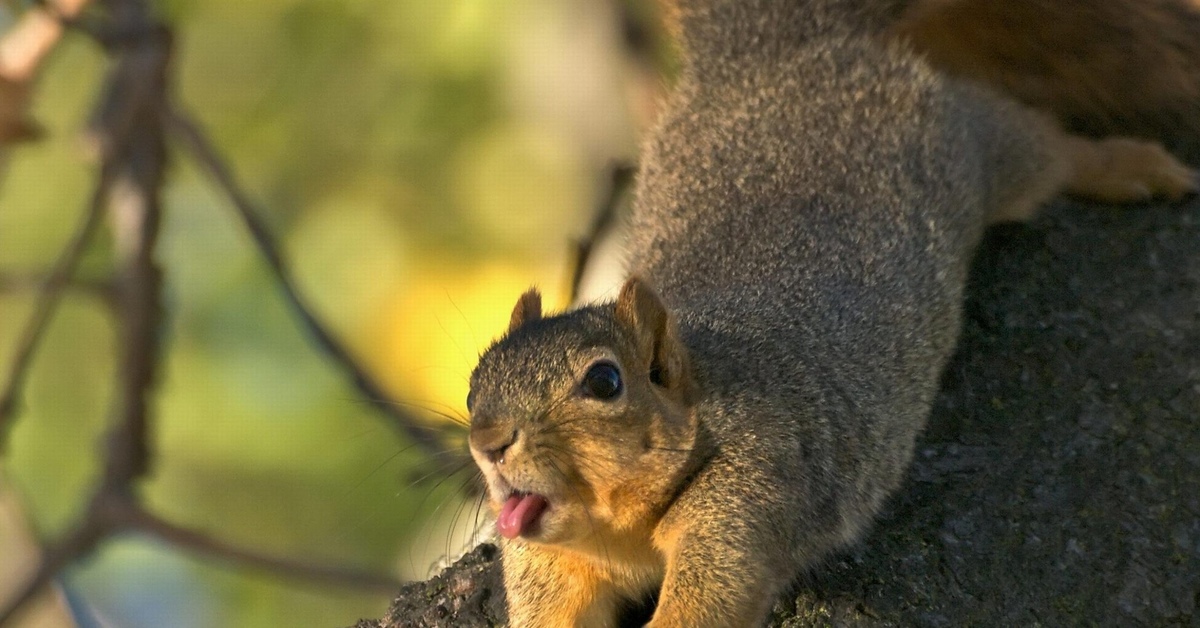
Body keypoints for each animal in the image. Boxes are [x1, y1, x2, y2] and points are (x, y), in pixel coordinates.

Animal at [463, 1, 1195, 628]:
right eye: (473, 389)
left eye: (605, 382)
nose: (489, 441)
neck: (619, 532)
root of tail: (779, 52)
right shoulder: (550, 563)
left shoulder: (751, 493)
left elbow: (709, 602)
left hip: (971, 142)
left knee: (1040, 145)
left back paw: (1130, 166)